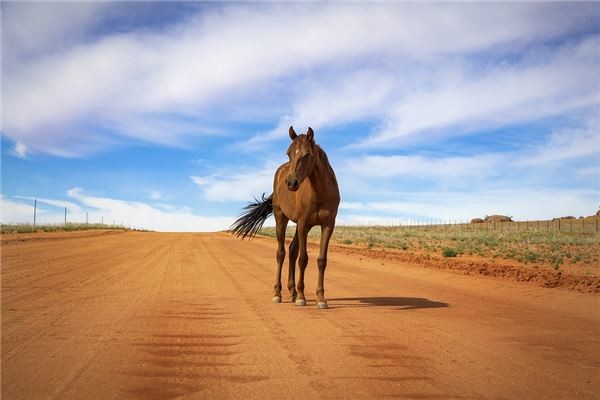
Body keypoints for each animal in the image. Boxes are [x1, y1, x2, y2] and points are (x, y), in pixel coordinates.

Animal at [231, 126, 340, 308]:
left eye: (307, 154)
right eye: (288, 153)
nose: (291, 183)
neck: (320, 192)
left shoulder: (327, 225)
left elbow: (321, 260)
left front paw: (321, 298)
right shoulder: (303, 224)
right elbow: (303, 259)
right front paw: (302, 297)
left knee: (292, 251)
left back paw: (292, 292)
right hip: (281, 218)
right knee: (281, 253)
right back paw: (278, 293)